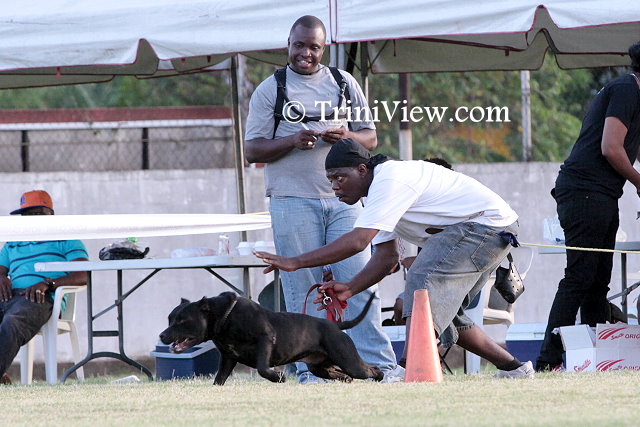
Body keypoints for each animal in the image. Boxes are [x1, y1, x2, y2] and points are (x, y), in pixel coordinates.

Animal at [159, 291, 383, 385]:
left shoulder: (265, 339)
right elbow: (219, 378)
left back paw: (379, 378)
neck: (224, 316)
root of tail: (335, 325)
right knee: (343, 374)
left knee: (370, 369)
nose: (162, 335)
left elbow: (261, 368)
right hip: (320, 367)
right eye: (169, 318)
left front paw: (278, 377)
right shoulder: (228, 357)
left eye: (182, 320)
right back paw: (347, 380)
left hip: (348, 359)